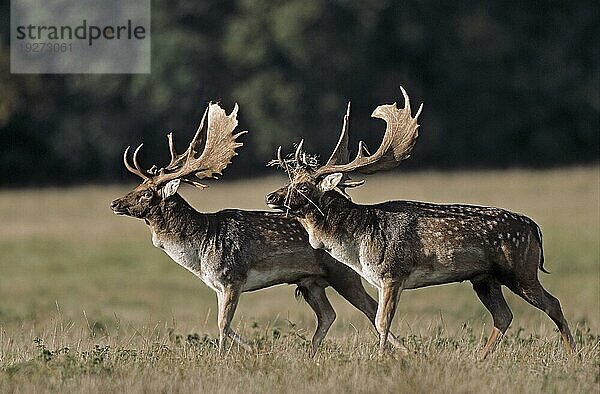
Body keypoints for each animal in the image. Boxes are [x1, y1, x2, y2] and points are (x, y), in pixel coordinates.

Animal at [110, 101, 406, 354]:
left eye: (147, 194)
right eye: (137, 185)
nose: (115, 203)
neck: (201, 246)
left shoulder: (232, 277)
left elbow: (223, 324)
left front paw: (222, 357)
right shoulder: (217, 286)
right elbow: (225, 325)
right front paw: (253, 350)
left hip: (343, 271)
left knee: (370, 307)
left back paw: (400, 349)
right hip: (310, 281)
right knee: (328, 315)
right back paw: (311, 354)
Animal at [268, 87, 576, 358]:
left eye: (304, 186)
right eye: (290, 180)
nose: (271, 196)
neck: (356, 243)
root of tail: (535, 228)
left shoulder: (393, 273)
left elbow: (381, 321)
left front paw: (381, 358)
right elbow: (379, 319)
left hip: (520, 270)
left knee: (553, 303)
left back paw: (573, 354)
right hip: (483, 278)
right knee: (504, 315)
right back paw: (480, 358)